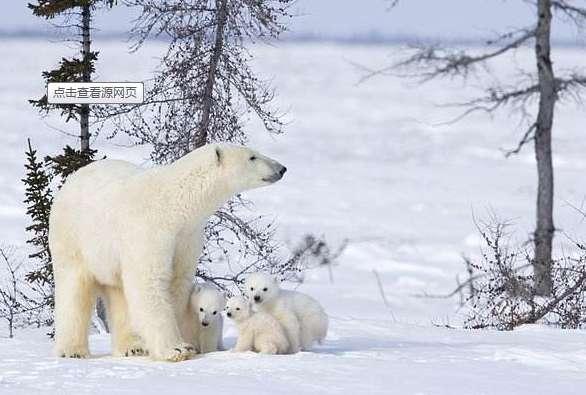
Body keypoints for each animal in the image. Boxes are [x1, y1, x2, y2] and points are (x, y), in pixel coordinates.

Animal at [49, 145, 286, 362]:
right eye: (252, 156)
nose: (282, 168)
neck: (174, 205)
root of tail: (72, 179)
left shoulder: (186, 238)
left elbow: (176, 283)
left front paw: (184, 342)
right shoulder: (149, 232)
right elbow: (149, 282)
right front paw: (177, 349)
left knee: (118, 292)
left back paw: (133, 347)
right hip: (74, 238)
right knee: (74, 289)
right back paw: (73, 350)